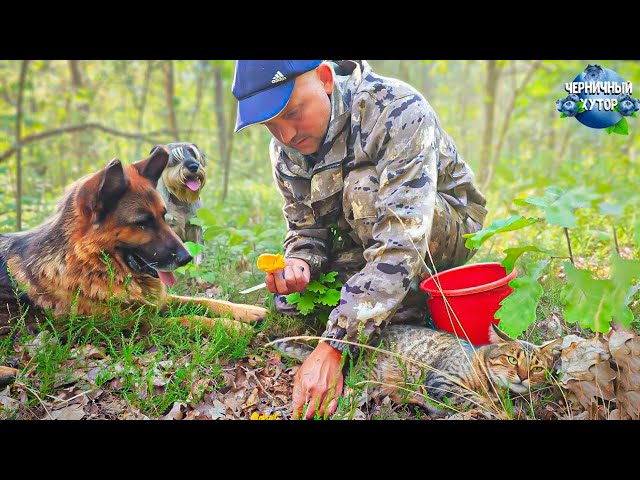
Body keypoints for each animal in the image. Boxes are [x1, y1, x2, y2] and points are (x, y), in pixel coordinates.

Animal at [0, 145, 264, 334]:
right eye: (142, 223)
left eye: (163, 216)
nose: (187, 258)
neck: (88, 263)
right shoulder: (131, 321)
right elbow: (186, 319)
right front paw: (228, 326)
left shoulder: (156, 300)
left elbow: (201, 300)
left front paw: (246, 311)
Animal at [276, 324, 560, 414]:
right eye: (512, 360)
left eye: (536, 368)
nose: (523, 376)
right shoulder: (443, 382)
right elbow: (475, 399)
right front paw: (498, 408)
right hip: (364, 382)